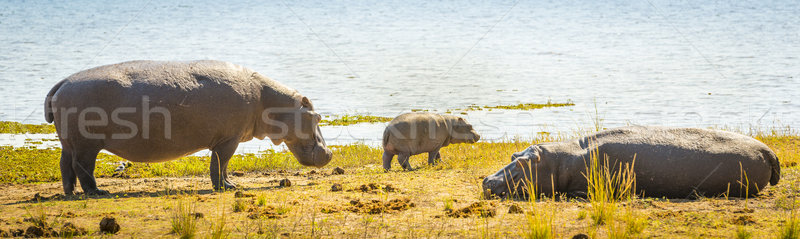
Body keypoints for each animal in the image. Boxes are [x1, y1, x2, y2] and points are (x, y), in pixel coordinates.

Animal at [44, 60, 332, 195]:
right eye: (318, 117)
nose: (329, 154)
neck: (271, 100)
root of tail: (63, 82)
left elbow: (220, 165)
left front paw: (228, 185)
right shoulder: (228, 140)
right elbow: (221, 164)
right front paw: (228, 187)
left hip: (69, 143)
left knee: (65, 165)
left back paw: (70, 192)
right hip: (86, 145)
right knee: (83, 168)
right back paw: (98, 192)